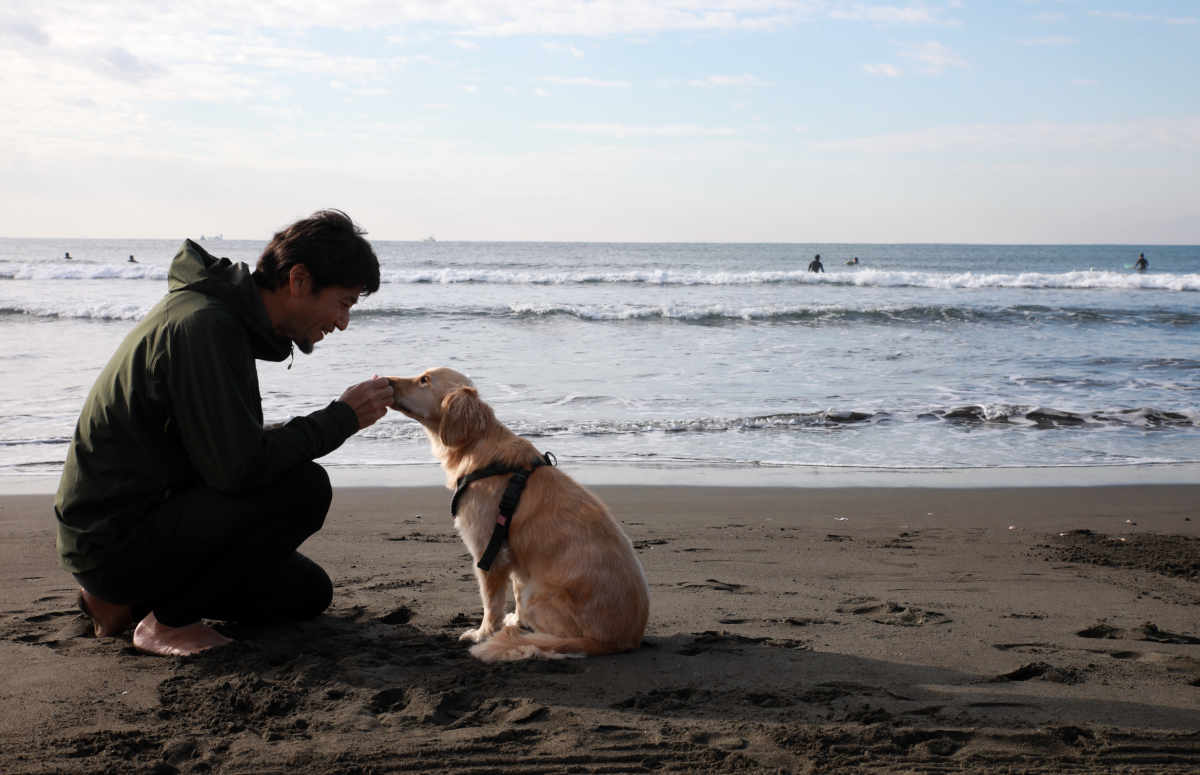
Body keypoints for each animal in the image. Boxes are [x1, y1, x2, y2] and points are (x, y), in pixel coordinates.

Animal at [386, 369, 648, 662]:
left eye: (424, 380)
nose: (387, 381)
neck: (476, 446)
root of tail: (620, 641)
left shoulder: (488, 551)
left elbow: (491, 603)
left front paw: (483, 633)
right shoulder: (511, 554)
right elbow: (513, 587)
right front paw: (512, 622)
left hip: (539, 595)